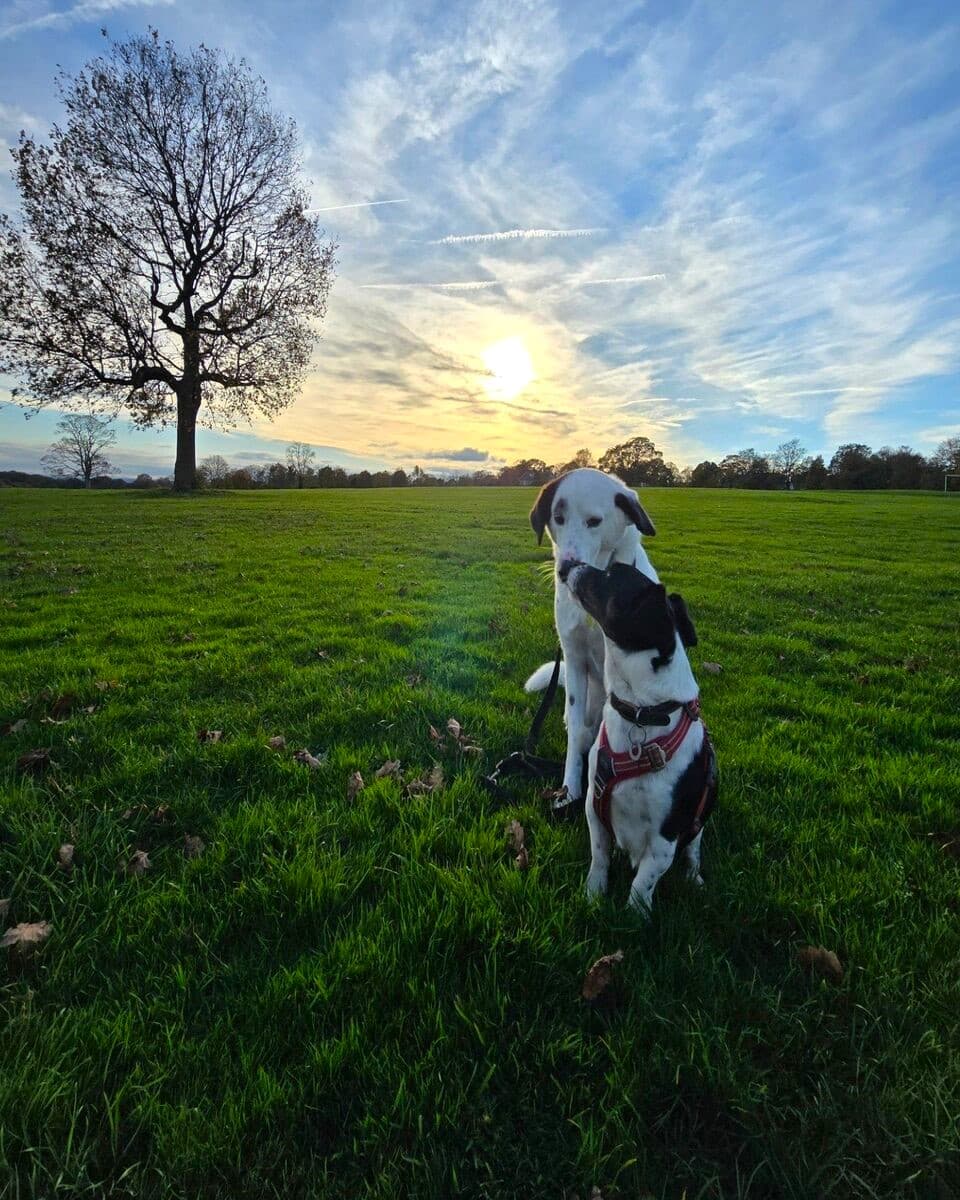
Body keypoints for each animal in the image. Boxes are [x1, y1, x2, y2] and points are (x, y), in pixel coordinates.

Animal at [525, 468, 662, 816]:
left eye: (594, 521)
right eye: (558, 518)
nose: (564, 570)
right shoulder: (573, 659)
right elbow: (576, 734)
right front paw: (569, 790)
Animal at [559, 559, 715, 907]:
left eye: (609, 574)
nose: (566, 564)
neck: (642, 712)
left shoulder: (664, 840)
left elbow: (642, 885)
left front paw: (633, 916)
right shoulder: (594, 808)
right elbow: (599, 858)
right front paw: (593, 896)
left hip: (697, 825)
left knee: (694, 851)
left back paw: (695, 878)